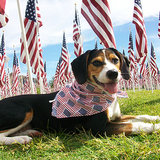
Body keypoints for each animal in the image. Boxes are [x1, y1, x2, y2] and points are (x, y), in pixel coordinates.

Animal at [0, 48, 160, 144]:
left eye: (115, 60)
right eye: (96, 62)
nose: (113, 73)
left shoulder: (117, 117)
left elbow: (140, 116)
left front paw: (155, 118)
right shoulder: (99, 128)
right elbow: (134, 124)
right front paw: (155, 126)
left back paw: (30, 132)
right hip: (25, 110)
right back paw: (22, 138)